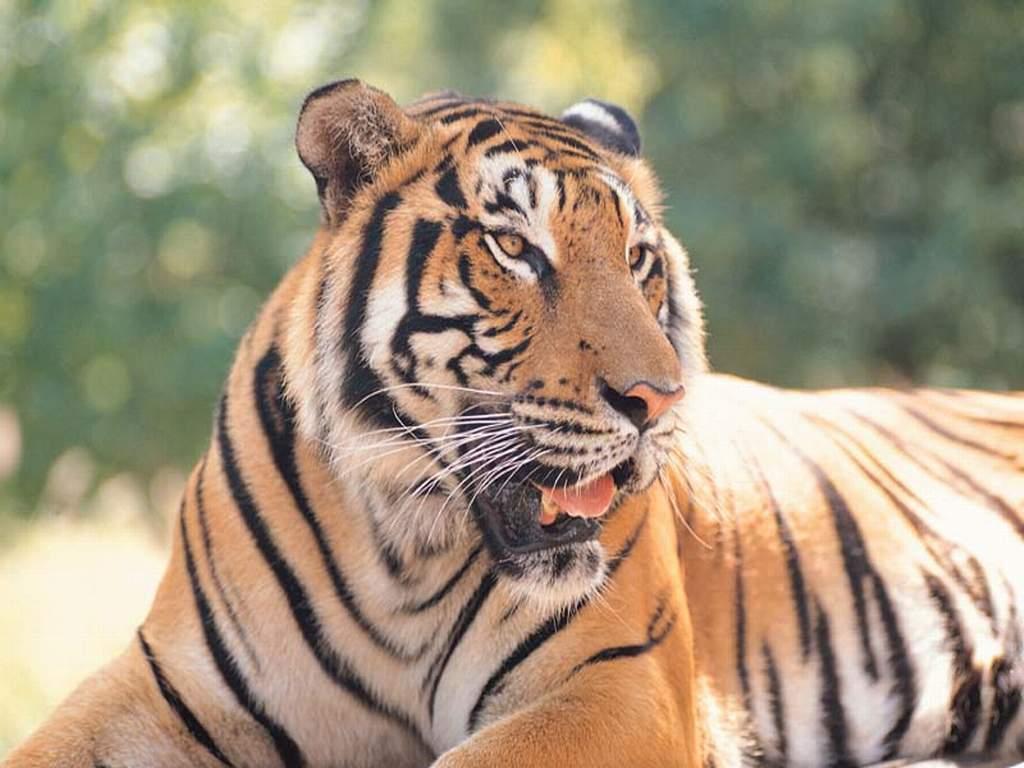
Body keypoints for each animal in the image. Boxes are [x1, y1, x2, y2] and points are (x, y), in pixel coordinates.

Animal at [4, 78, 1023, 768]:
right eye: (514, 248)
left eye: (639, 257)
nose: (658, 400)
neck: (404, 549)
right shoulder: (171, 682)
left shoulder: (619, 684)